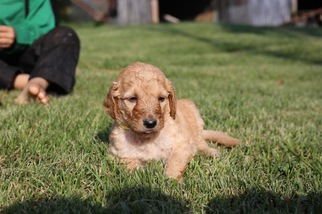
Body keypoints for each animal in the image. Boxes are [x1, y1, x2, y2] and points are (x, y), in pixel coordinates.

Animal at [103, 61, 239, 181]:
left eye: (161, 98)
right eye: (132, 98)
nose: (150, 123)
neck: (147, 139)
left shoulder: (183, 144)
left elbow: (175, 160)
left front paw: (171, 180)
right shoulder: (118, 152)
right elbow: (130, 163)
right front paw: (140, 175)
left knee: (201, 143)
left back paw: (211, 152)